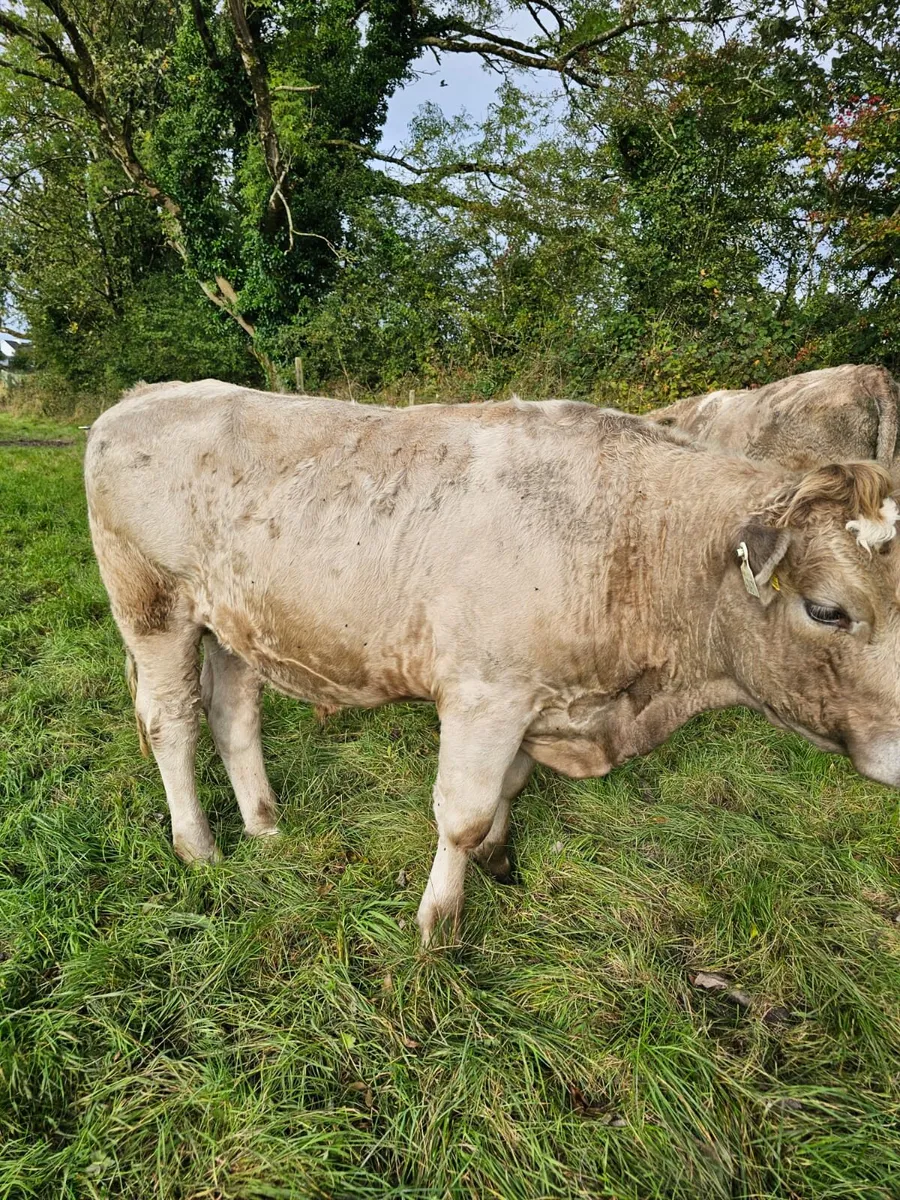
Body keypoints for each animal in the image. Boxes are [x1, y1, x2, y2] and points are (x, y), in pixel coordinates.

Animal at [85, 380, 900, 945]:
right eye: (827, 609)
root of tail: (144, 394)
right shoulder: (486, 696)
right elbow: (463, 813)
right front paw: (438, 923)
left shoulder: (539, 699)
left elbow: (507, 790)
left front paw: (500, 862)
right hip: (154, 609)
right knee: (172, 724)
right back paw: (199, 847)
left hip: (235, 624)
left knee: (234, 718)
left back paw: (264, 827)